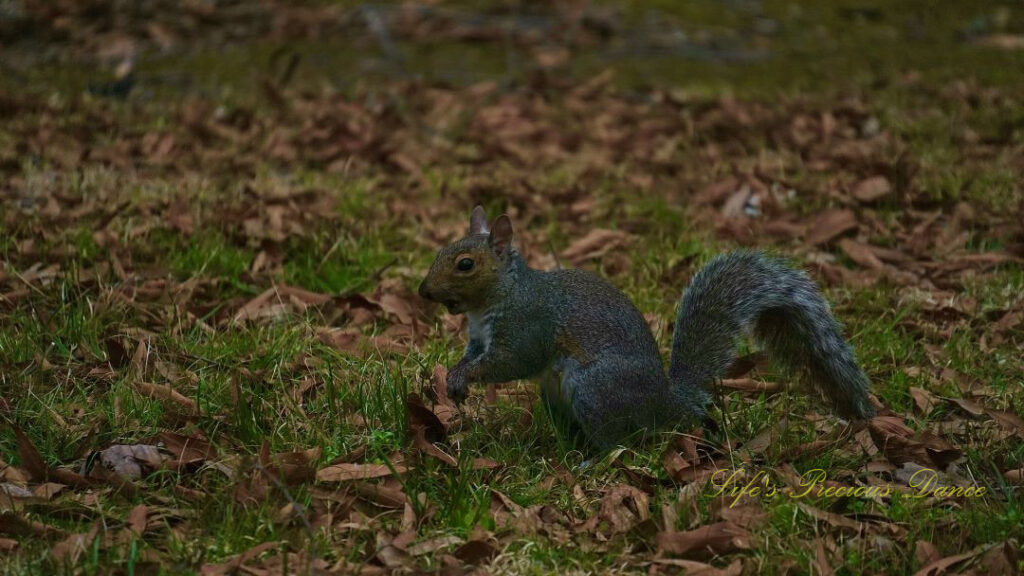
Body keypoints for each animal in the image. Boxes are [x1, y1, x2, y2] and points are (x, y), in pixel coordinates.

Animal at [415, 206, 872, 448]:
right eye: (440, 250)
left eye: (465, 264)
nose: (423, 291)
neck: (495, 298)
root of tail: (665, 403)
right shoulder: (479, 337)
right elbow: (473, 356)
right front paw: (455, 376)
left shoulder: (529, 324)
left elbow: (512, 361)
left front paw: (467, 377)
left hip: (595, 387)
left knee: (616, 441)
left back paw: (588, 460)